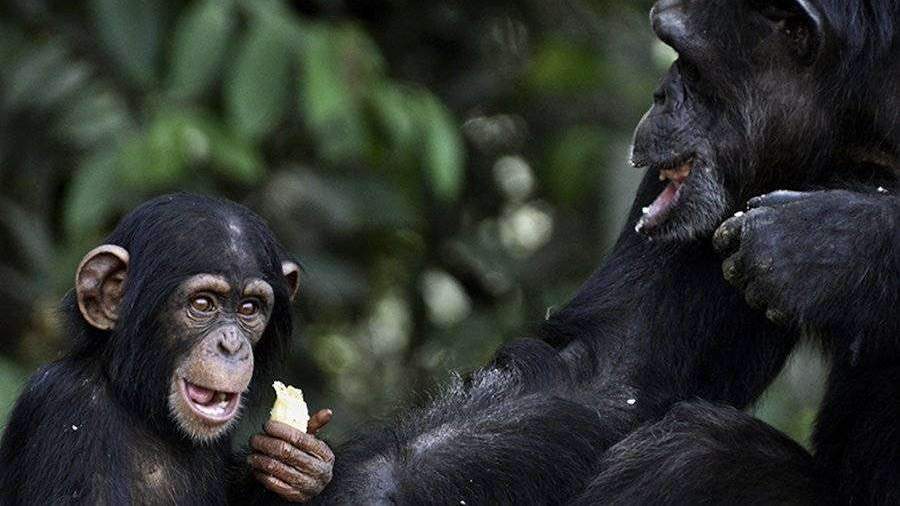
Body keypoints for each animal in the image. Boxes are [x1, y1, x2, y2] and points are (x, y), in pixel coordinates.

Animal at [0, 195, 334, 506]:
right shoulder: (66, 408)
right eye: (203, 303)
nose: (231, 344)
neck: (139, 405)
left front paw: (300, 463)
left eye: (249, 308)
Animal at [314, 0, 892, 504]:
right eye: (672, 48)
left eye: (691, 63)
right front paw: (362, 487)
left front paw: (825, 243)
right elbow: (619, 367)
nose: (660, 93)